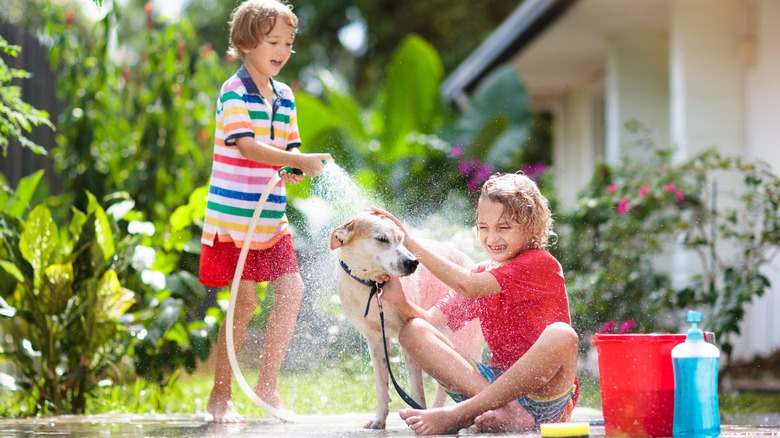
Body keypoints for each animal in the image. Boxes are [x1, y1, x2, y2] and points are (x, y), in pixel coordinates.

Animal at [328, 210, 482, 430]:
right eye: (382, 239)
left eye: (401, 240)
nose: (413, 262)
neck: (373, 287)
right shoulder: (375, 338)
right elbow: (382, 385)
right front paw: (379, 419)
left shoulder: (406, 335)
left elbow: (417, 387)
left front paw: (418, 414)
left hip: (463, 344)